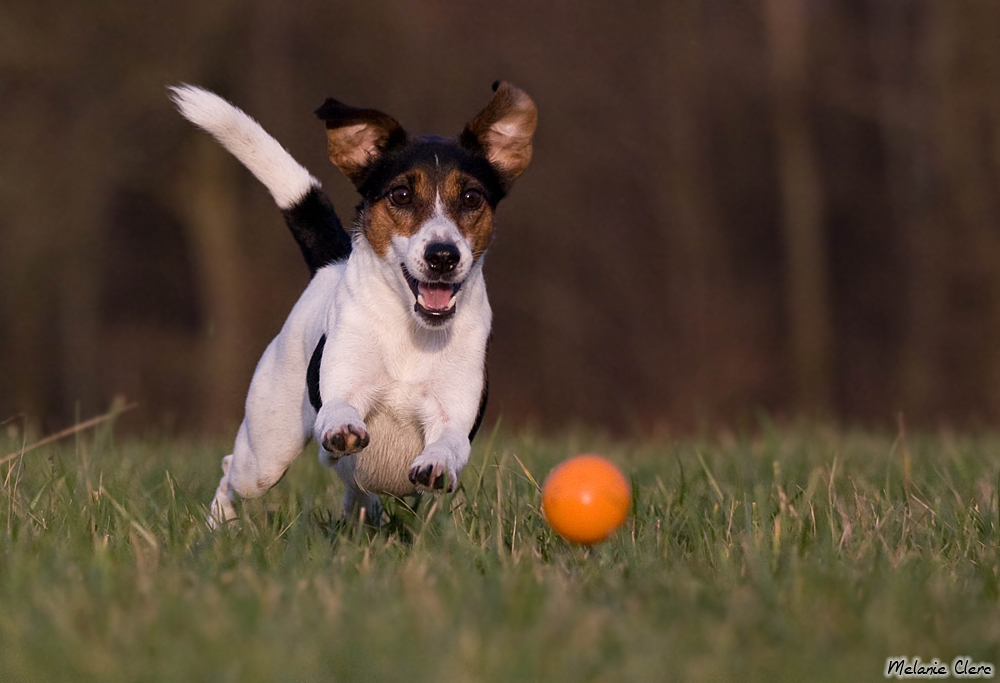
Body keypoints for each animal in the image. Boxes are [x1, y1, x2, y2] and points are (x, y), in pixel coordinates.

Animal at [170, 81, 540, 528]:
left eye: (471, 198)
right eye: (400, 194)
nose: (443, 255)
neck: (412, 333)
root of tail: (331, 264)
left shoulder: (453, 411)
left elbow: (449, 443)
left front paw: (435, 464)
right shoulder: (346, 386)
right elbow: (341, 408)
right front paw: (342, 426)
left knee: (356, 487)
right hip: (265, 453)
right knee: (232, 469)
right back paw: (220, 524)